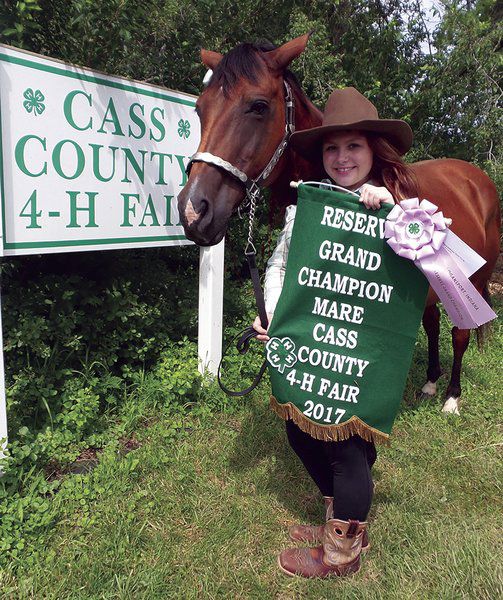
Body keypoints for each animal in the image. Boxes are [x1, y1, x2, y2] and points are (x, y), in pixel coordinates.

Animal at [179, 35, 502, 414]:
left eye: (258, 106)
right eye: (200, 109)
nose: (193, 210)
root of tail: (477, 180)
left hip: (470, 285)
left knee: (459, 334)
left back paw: (451, 397)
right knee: (433, 324)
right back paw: (431, 384)